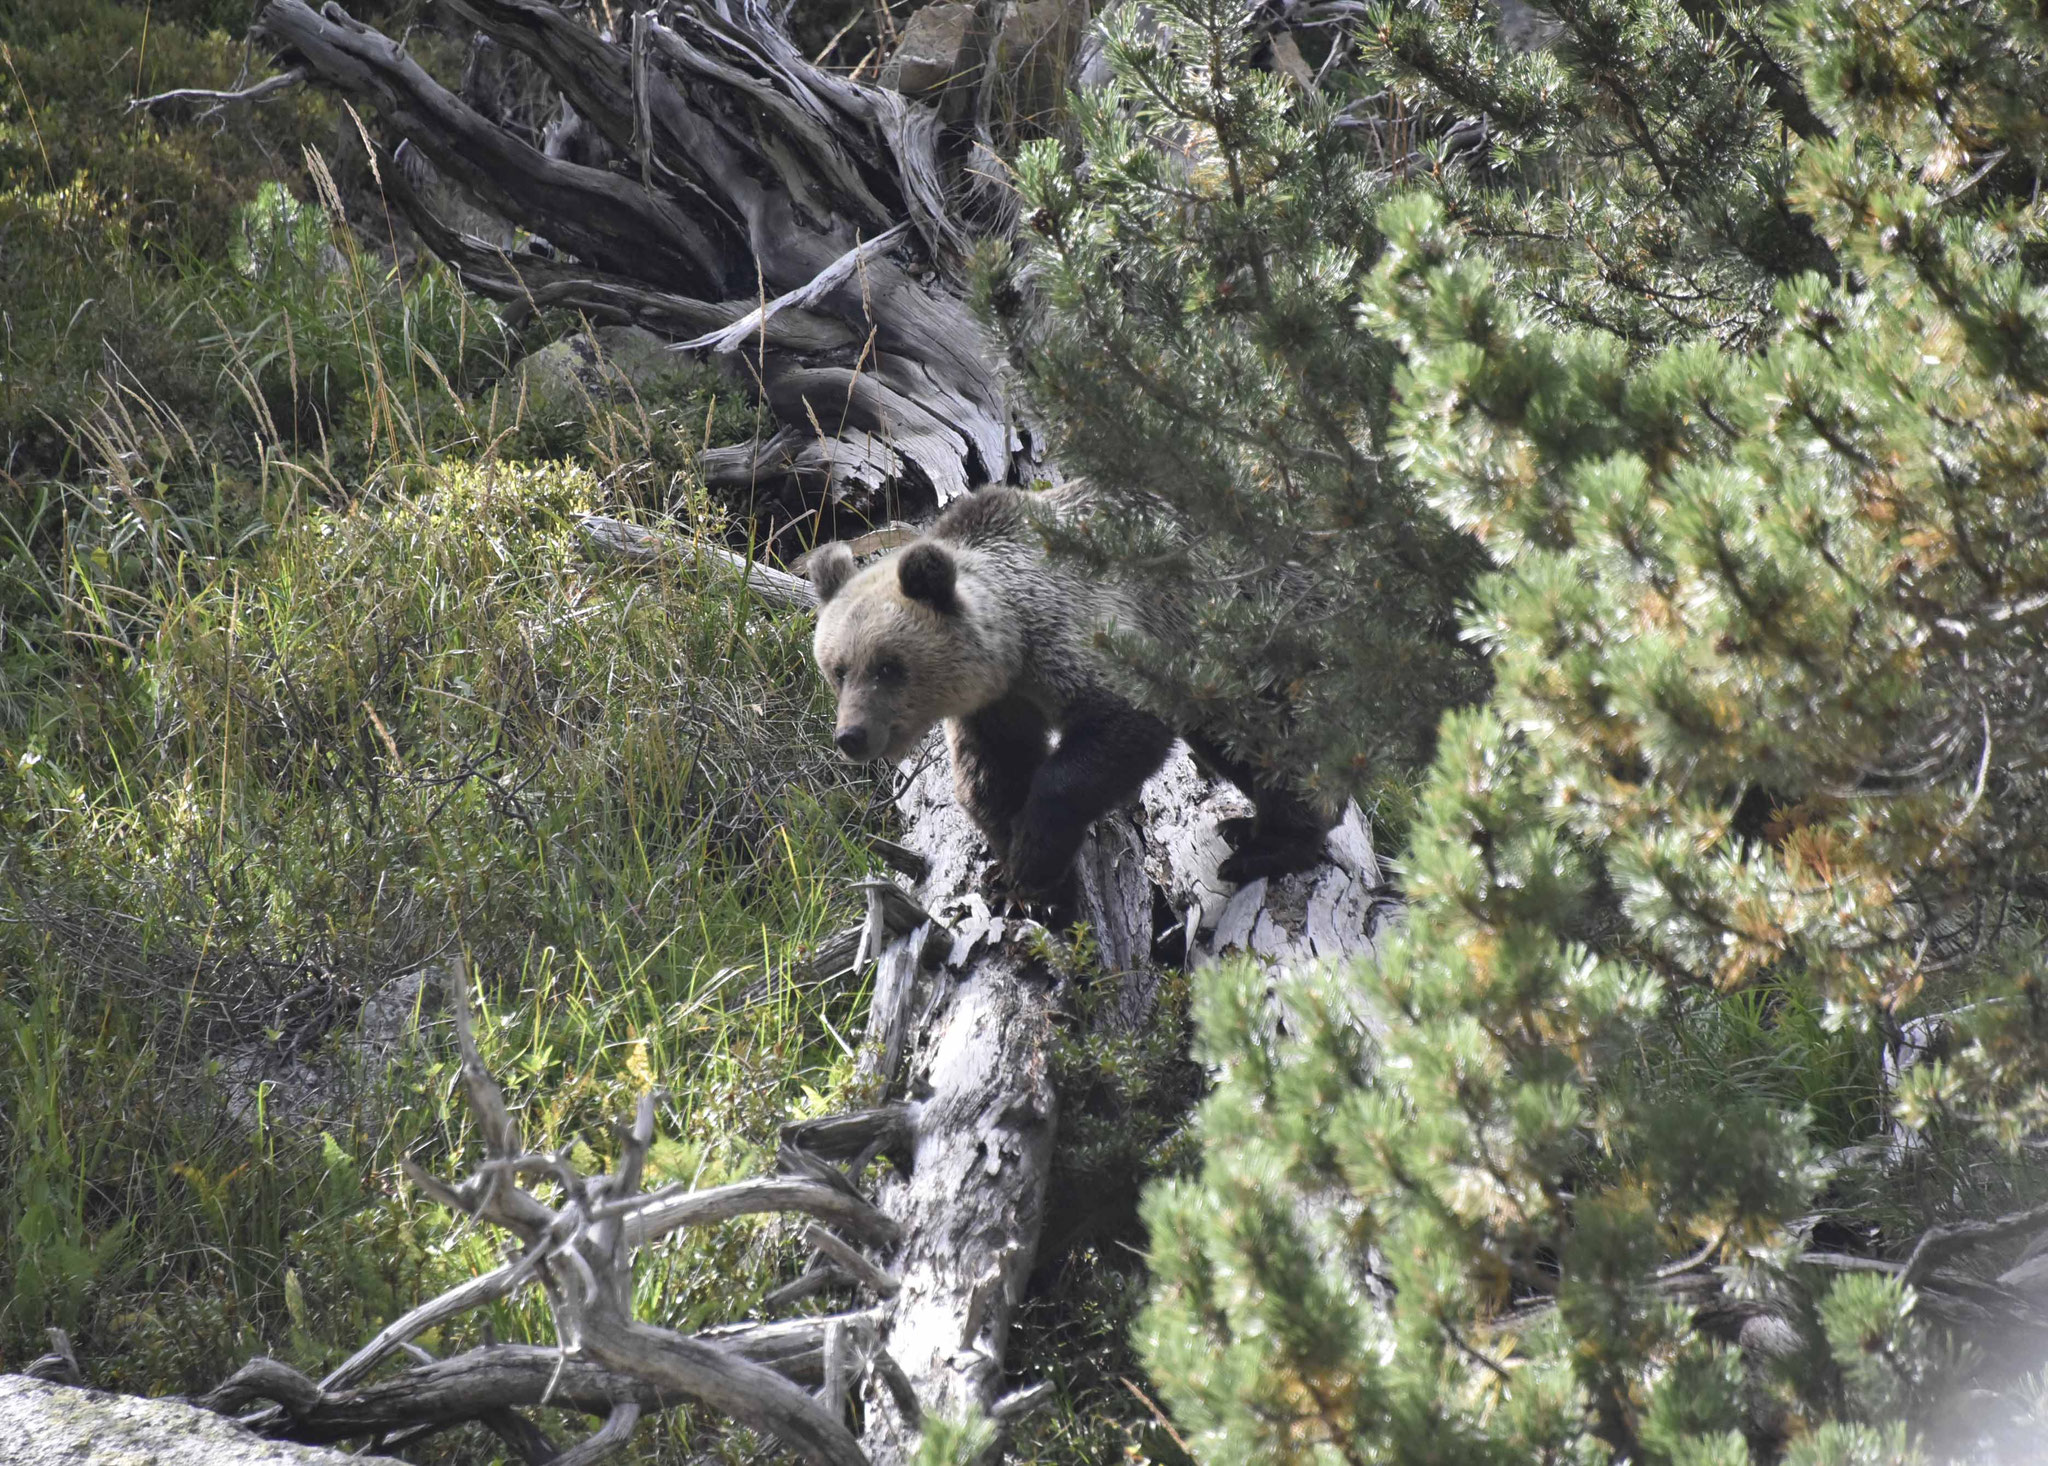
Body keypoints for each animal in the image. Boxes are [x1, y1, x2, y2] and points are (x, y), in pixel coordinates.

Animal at [798, 487, 1327, 892]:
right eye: (838, 670)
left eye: (888, 666)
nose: (852, 736)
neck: (1014, 644)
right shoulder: (996, 705)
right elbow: (992, 774)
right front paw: (1021, 870)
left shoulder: (1086, 635)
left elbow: (1115, 731)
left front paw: (1035, 855)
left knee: (1271, 739)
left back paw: (1267, 846)